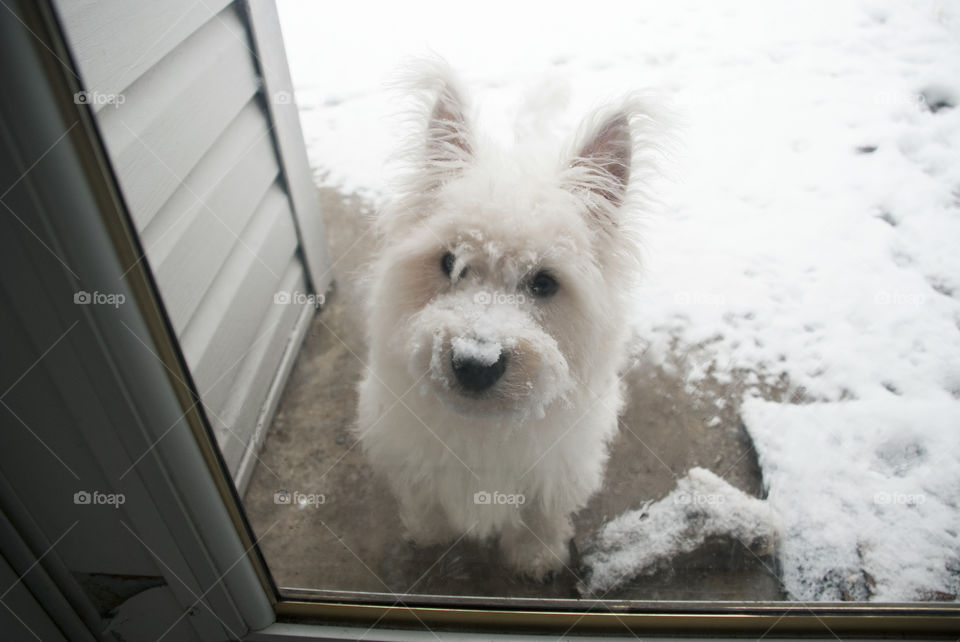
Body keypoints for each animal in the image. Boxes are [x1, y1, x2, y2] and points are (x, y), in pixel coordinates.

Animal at [356, 62, 664, 576]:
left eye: (543, 283)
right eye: (450, 262)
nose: (475, 364)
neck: (484, 428)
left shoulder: (555, 470)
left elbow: (540, 516)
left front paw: (536, 559)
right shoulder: (407, 451)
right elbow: (424, 500)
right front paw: (429, 534)